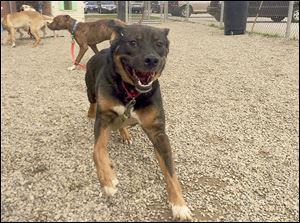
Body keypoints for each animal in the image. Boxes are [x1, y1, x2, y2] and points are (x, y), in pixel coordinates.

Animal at [84, 21, 192, 220]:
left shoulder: (157, 132)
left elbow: (171, 172)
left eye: (159, 44)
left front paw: (179, 205)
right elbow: (97, 150)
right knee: (92, 103)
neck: (132, 92)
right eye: (133, 42)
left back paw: (125, 134)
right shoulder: (103, 118)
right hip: (90, 91)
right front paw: (107, 179)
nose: (152, 60)